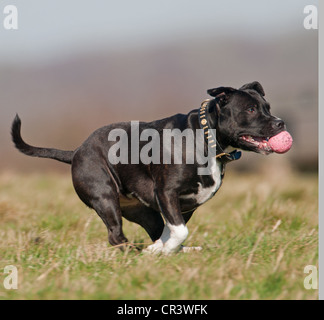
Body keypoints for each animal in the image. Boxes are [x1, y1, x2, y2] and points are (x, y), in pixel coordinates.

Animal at [10, 82, 288, 255]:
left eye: (267, 108)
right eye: (250, 109)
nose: (280, 122)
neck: (206, 137)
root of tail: (76, 151)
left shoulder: (187, 204)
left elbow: (173, 230)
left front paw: (163, 250)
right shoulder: (167, 192)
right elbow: (179, 231)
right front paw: (159, 251)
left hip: (141, 211)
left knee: (151, 230)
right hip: (105, 198)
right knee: (115, 236)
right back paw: (136, 253)